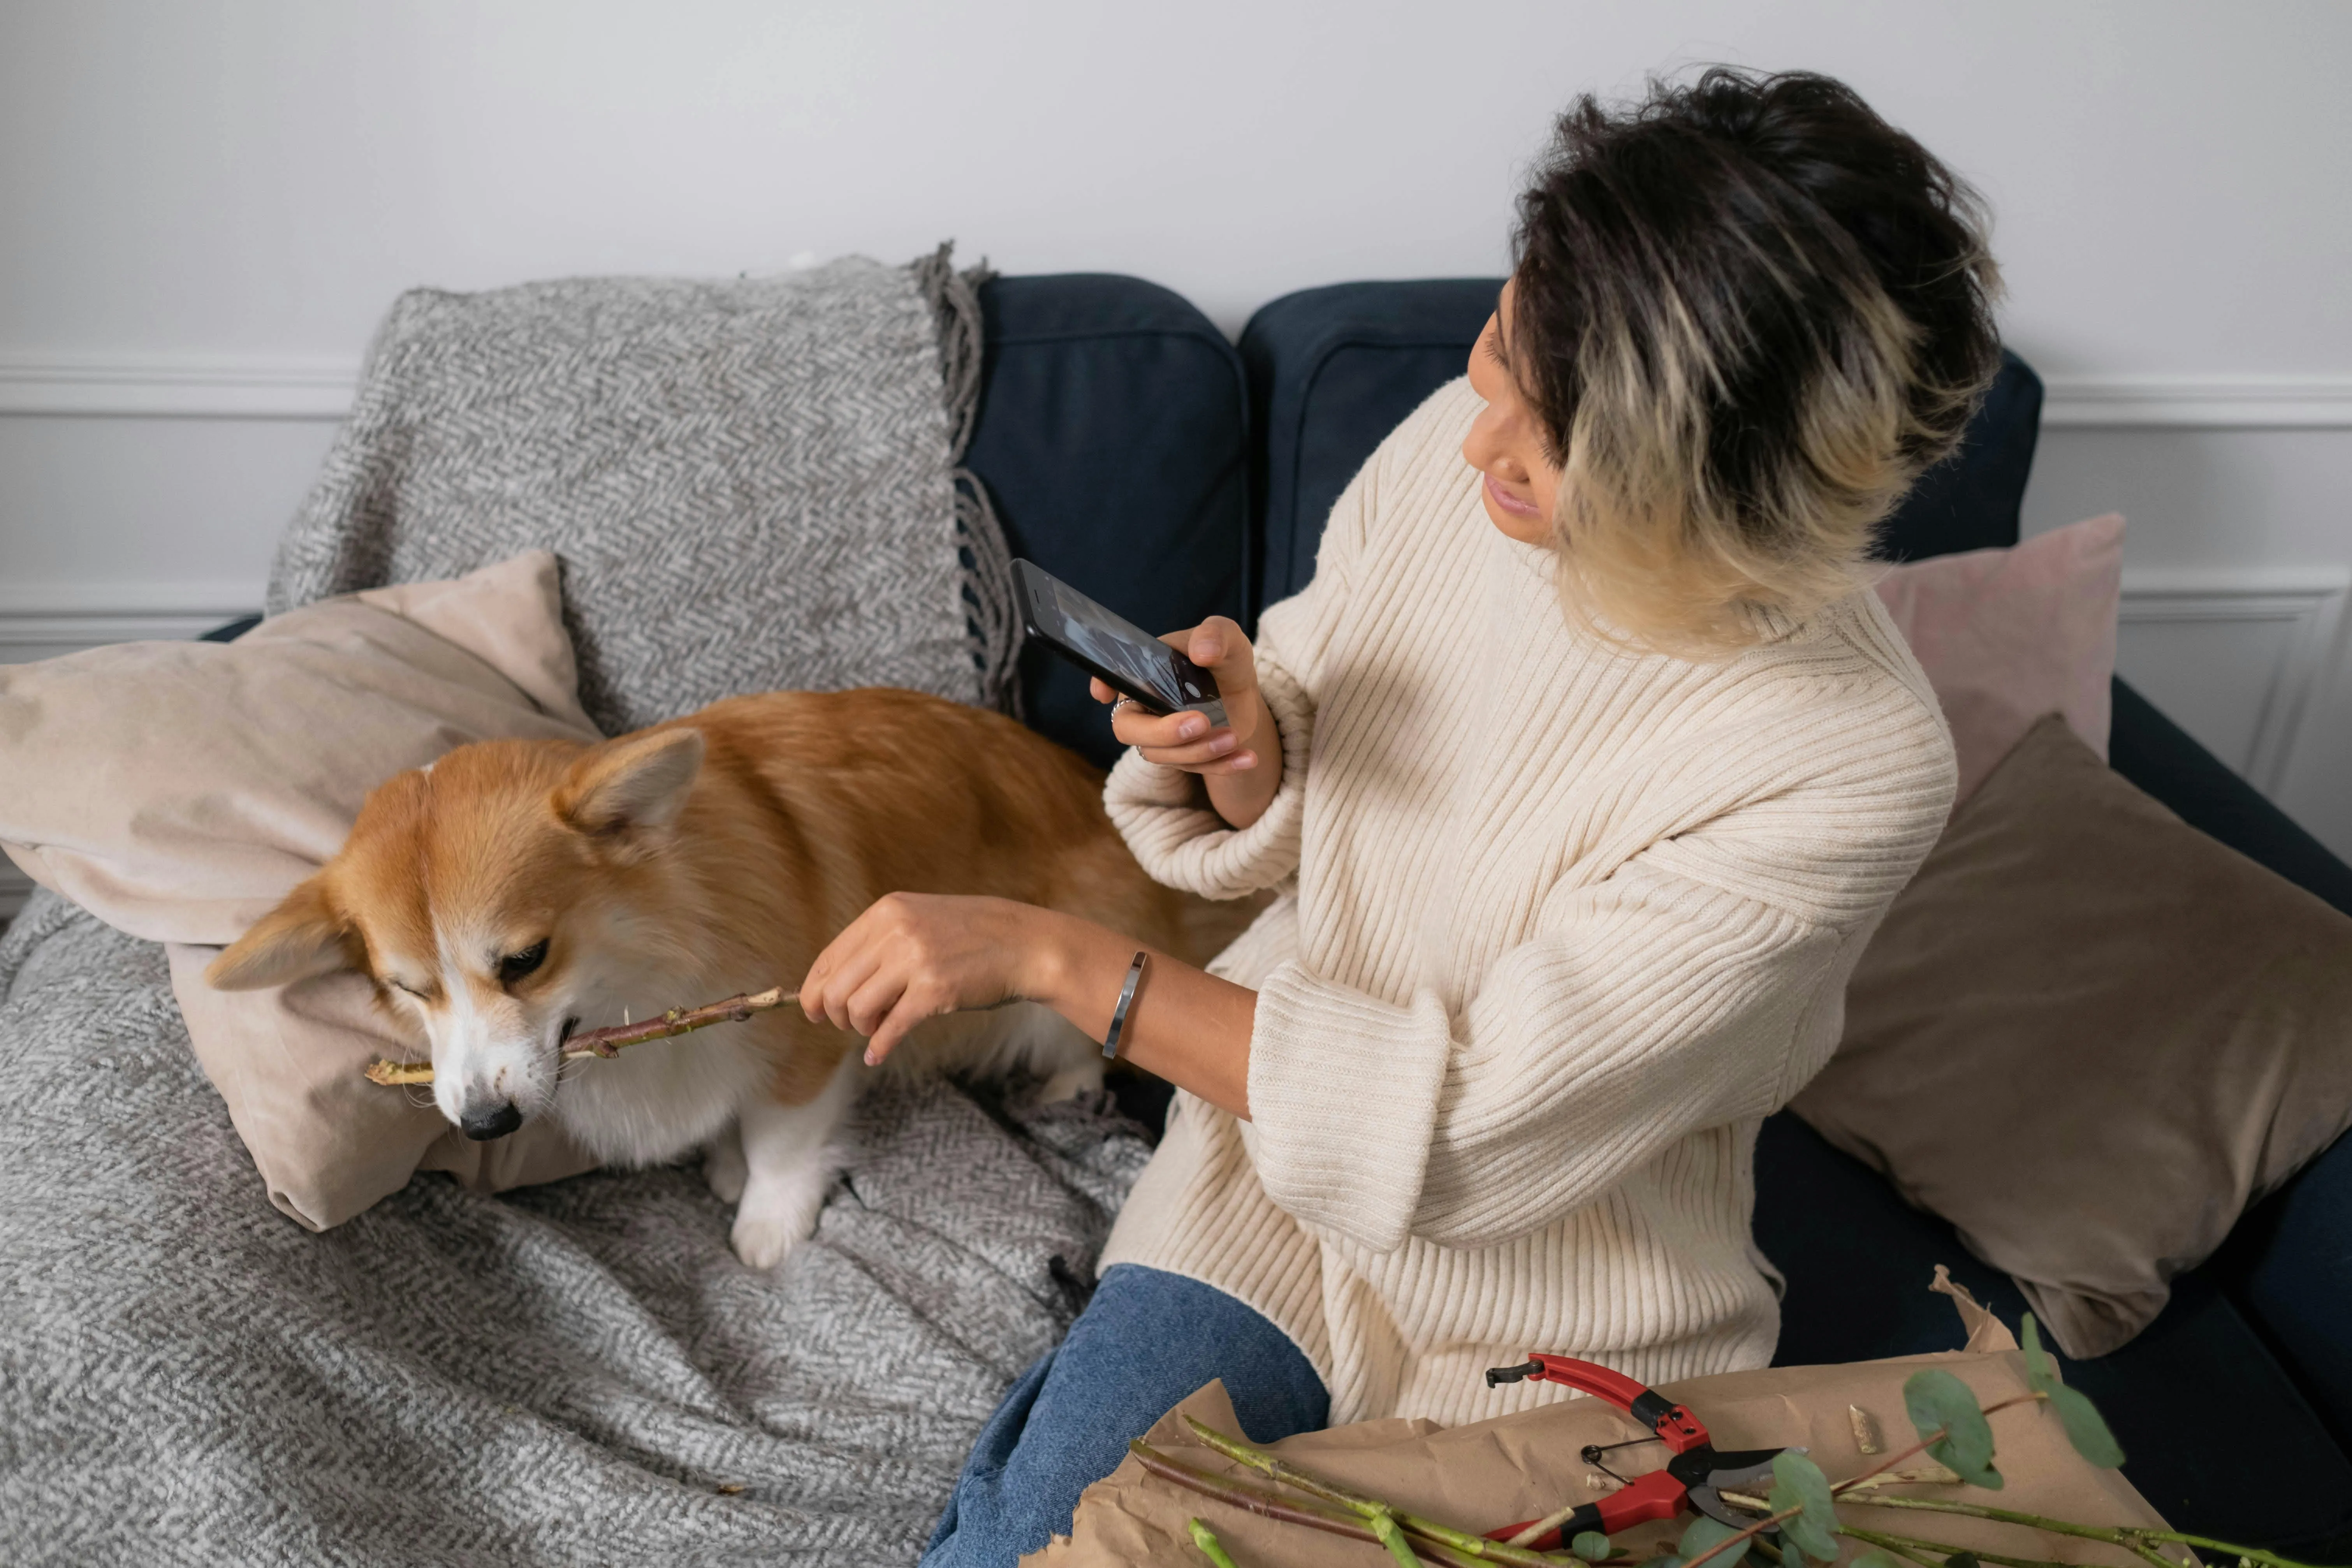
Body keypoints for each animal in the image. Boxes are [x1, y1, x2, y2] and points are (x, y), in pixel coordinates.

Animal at [209, 686, 1204, 1260]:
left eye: (525, 960)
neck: (640, 973)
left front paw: (768, 1221)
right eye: (409, 989)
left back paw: (1065, 1089)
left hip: (1065, 970)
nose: (485, 1124)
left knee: (1080, 1037)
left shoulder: (811, 1034)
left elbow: (783, 1140)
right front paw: (726, 1164)